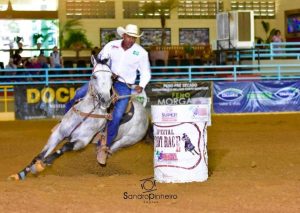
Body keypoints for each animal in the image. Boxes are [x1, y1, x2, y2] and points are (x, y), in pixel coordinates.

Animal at [8, 59, 149, 181]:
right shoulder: (57, 134)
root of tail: (145, 114)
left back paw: (101, 157)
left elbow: (65, 147)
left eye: (111, 77)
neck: (86, 113)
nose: (105, 100)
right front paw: (19, 174)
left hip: (126, 141)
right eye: (94, 76)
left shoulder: (82, 141)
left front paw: (41, 165)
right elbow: (40, 155)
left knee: (111, 149)